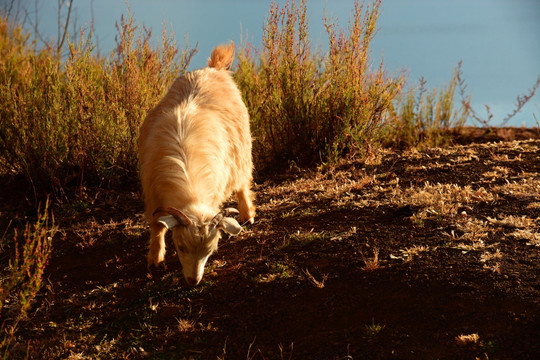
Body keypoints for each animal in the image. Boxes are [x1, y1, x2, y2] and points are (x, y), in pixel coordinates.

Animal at [139, 41, 258, 286]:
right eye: (180, 247)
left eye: (210, 251)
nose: (193, 281)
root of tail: (213, 68)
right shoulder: (152, 194)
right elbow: (157, 226)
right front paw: (155, 259)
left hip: (241, 151)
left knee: (242, 183)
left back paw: (247, 214)